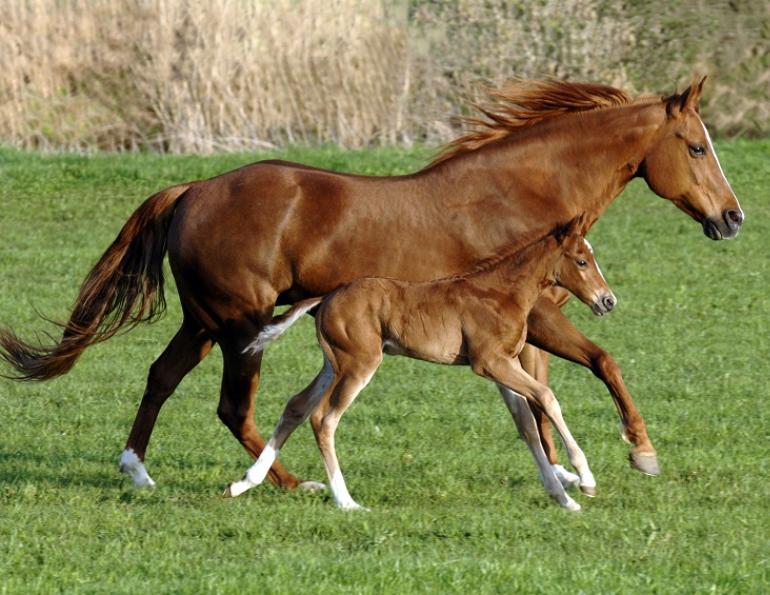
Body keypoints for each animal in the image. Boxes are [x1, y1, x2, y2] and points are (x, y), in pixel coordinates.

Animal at [224, 217, 614, 511]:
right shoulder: (489, 362)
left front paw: (563, 498)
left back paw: (244, 483)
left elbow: (527, 425)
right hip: (359, 363)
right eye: (581, 260)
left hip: (333, 363)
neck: (503, 292)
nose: (608, 301)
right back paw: (346, 502)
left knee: (297, 406)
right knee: (324, 418)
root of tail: (328, 296)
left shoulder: (503, 367)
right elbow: (547, 397)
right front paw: (585, 479)